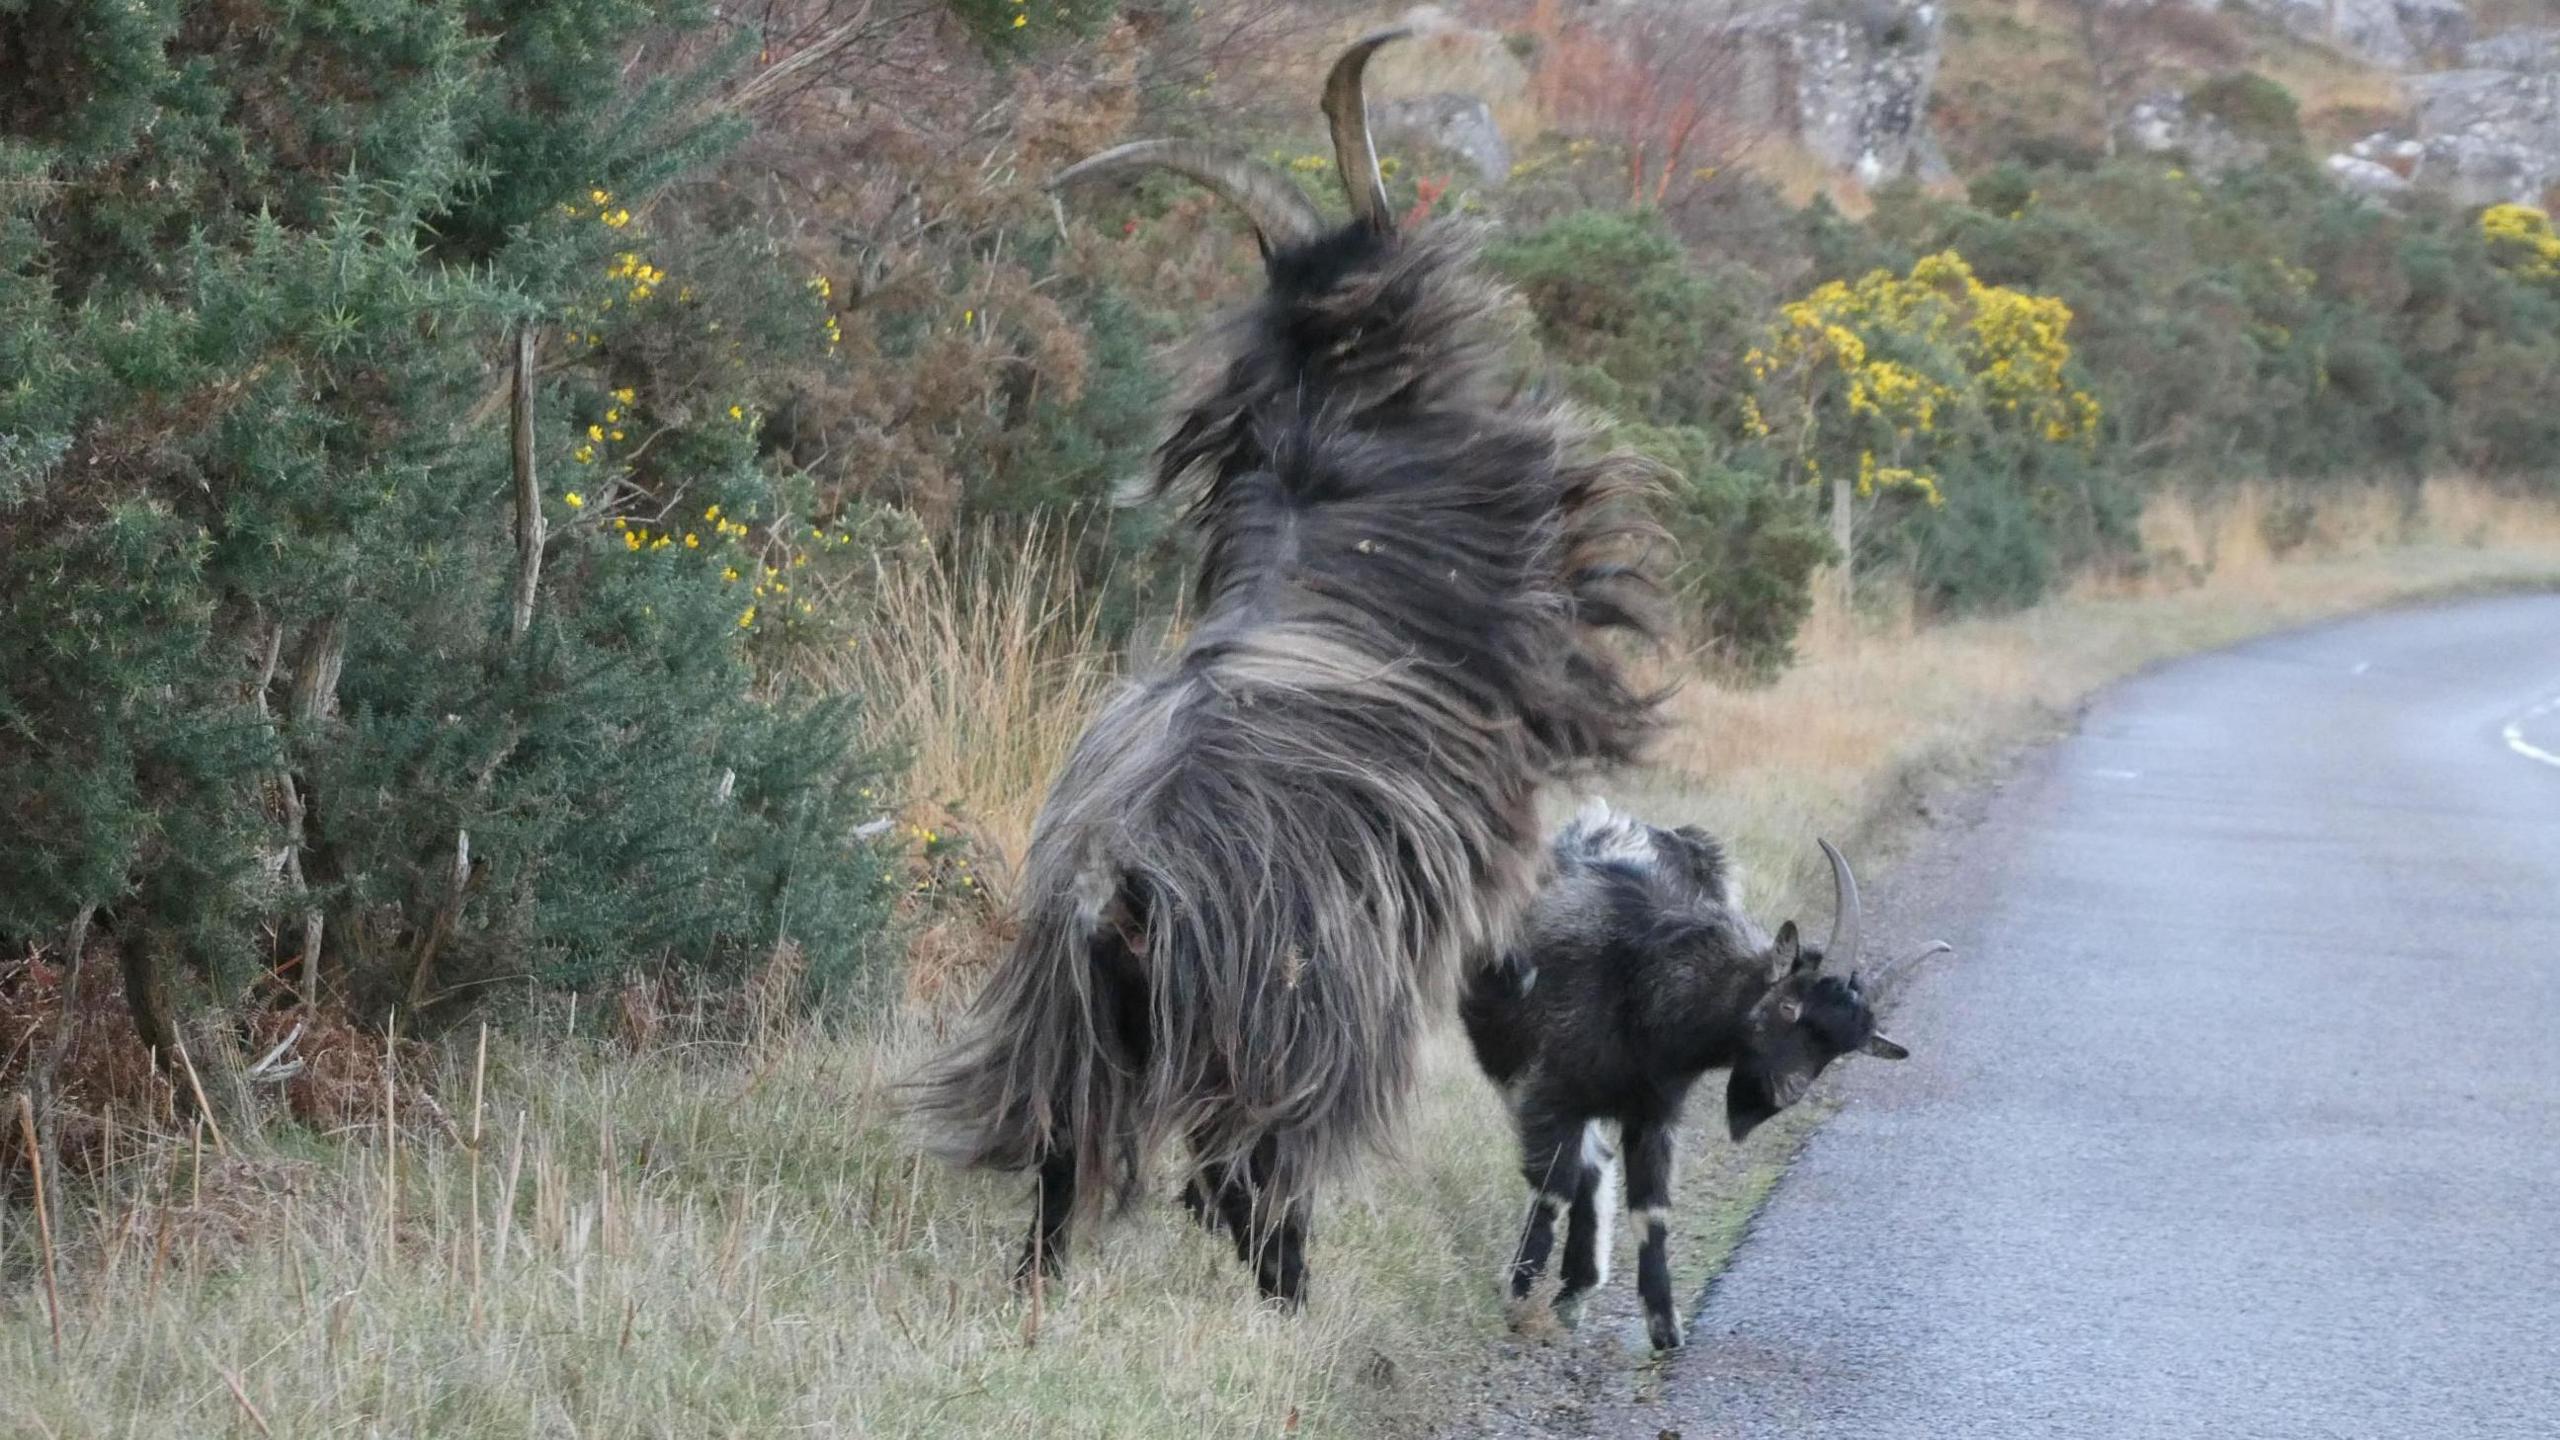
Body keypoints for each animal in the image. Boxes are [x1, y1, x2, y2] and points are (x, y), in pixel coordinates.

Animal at [909, 32, 1669, 1306]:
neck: (1327, 476)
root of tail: (1120, 898)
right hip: (1300, 1036)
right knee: (1246, 1176)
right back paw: (1293, 1296)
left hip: (1072, 1041)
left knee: (1067, 1169)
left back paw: (1041, 1293)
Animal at [1461, 801, 1944, 1349]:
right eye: (1789, 1006)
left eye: (1841, 1050)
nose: (1785, 1091)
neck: (1640, 981)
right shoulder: (1548, 1092)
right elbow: (1552, 1188)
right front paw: (1516, 1296)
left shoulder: (1655, 1112)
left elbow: (1650, 1209)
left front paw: (1665, 1326)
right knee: (1583, 1165)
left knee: (1596, 1159)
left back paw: (1577, 1290)